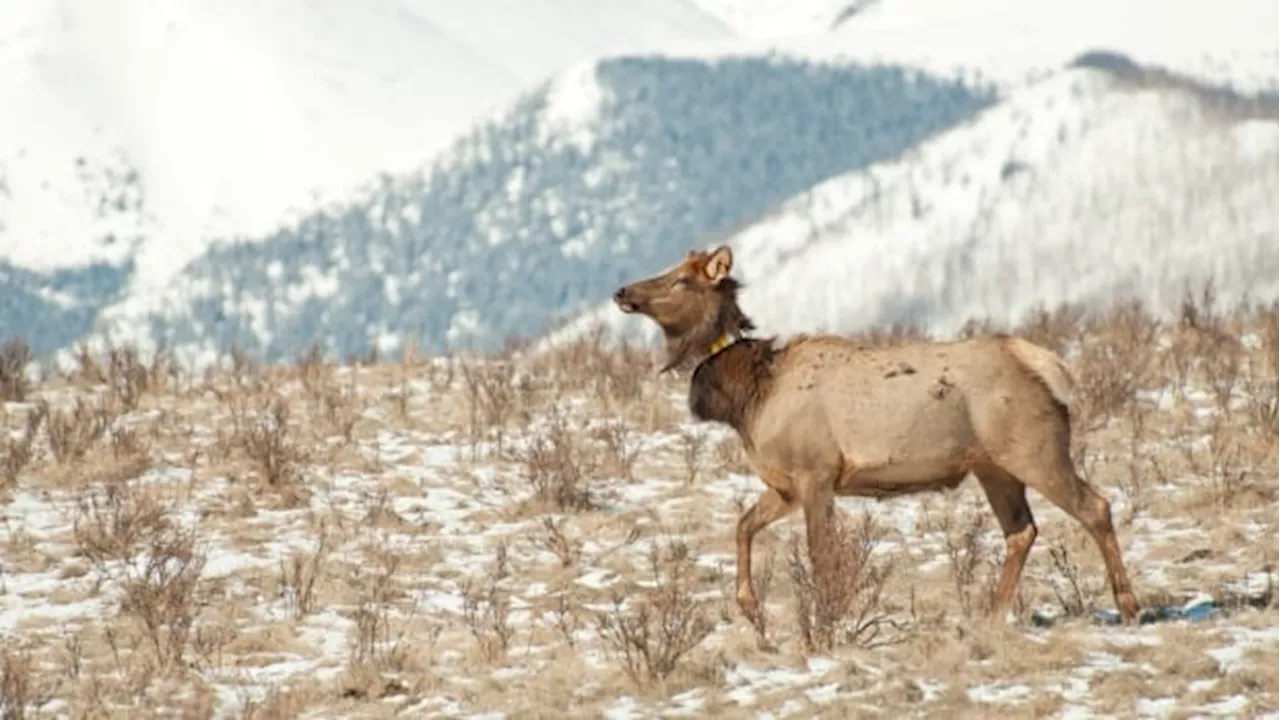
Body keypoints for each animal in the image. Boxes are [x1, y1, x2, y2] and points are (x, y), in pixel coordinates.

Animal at [614, 244, 1146, 622]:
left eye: (681, 279)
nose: (622, 291)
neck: (750, 398)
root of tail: (1046, 366)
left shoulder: (816, 471)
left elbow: (820, 553)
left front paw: (824, 621)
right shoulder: (785, 484)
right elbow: (743, 525)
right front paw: (749, 608)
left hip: (1034, 449)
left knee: (1095, 507)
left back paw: (1128, 607)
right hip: (993, 467)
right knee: (1021, 530)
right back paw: (990, 618)